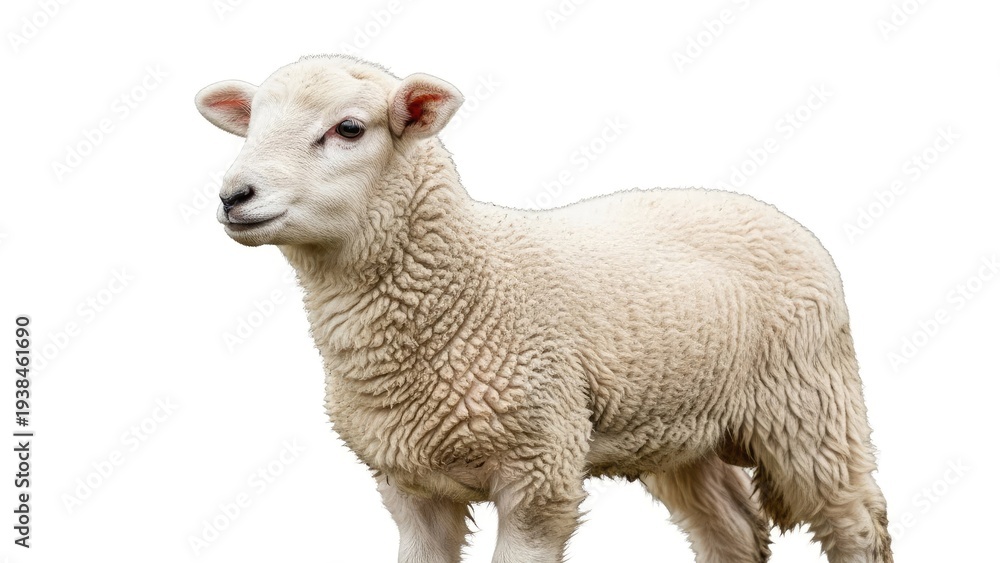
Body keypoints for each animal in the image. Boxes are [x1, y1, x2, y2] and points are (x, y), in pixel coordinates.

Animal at [195, 54, 893, 563]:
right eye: (251, 127)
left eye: (349, 129)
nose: (234, 196)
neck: (465, 288)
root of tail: (761, 207)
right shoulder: (409, 484)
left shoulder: (540, 471)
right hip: (681, 428)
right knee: (734, 533)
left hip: (810, 404)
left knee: (857, 521)